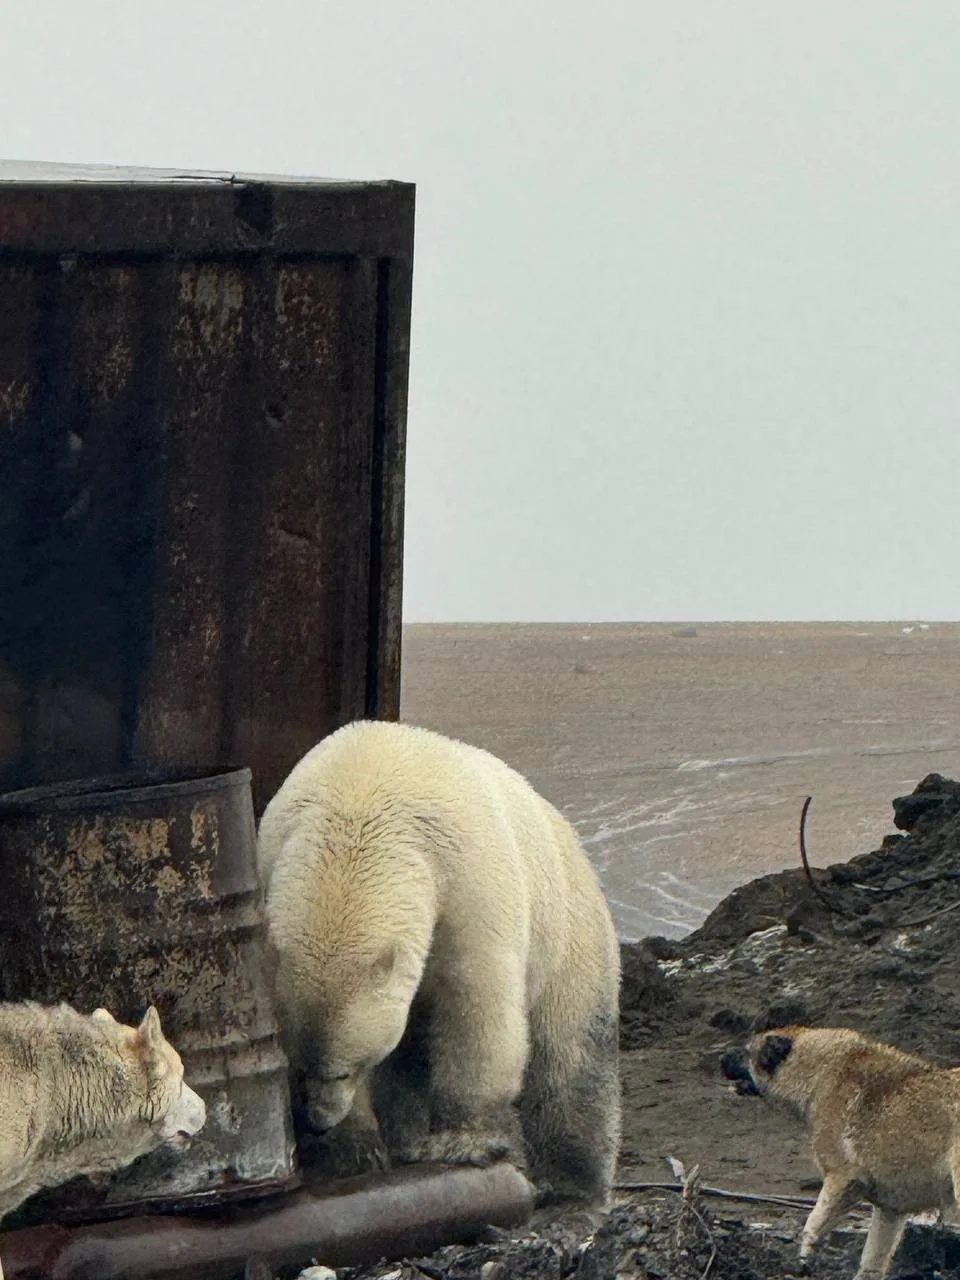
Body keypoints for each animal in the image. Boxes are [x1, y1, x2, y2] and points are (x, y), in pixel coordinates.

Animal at [256, 719, 621, 1209]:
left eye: (344, 1070)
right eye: (297, 1065)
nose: (318, 1120)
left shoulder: (469, 883)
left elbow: (478, 1011)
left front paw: (462, 1141)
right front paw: (353, 1152)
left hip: (568, 928)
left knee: (571, 1053)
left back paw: (572, 1188)